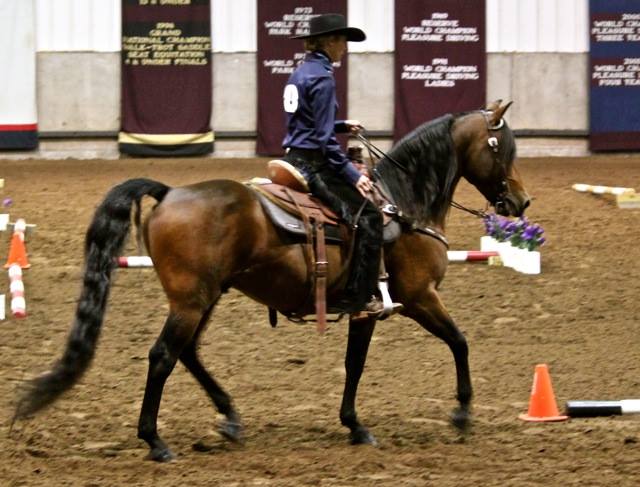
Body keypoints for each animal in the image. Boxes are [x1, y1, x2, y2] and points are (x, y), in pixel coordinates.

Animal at [13, 100, 530, 462]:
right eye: (502, 149)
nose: (520, 203)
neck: (401, 205)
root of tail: (170, 192)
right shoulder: (418, 296)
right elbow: (458, 342)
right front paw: (461, 413)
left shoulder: (368, 312)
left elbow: (355, 365)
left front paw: (354, 425)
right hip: (191, 300)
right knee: (163, 356)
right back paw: (155, 441)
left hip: (205, 297)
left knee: (188, 353)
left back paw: (228, 418)